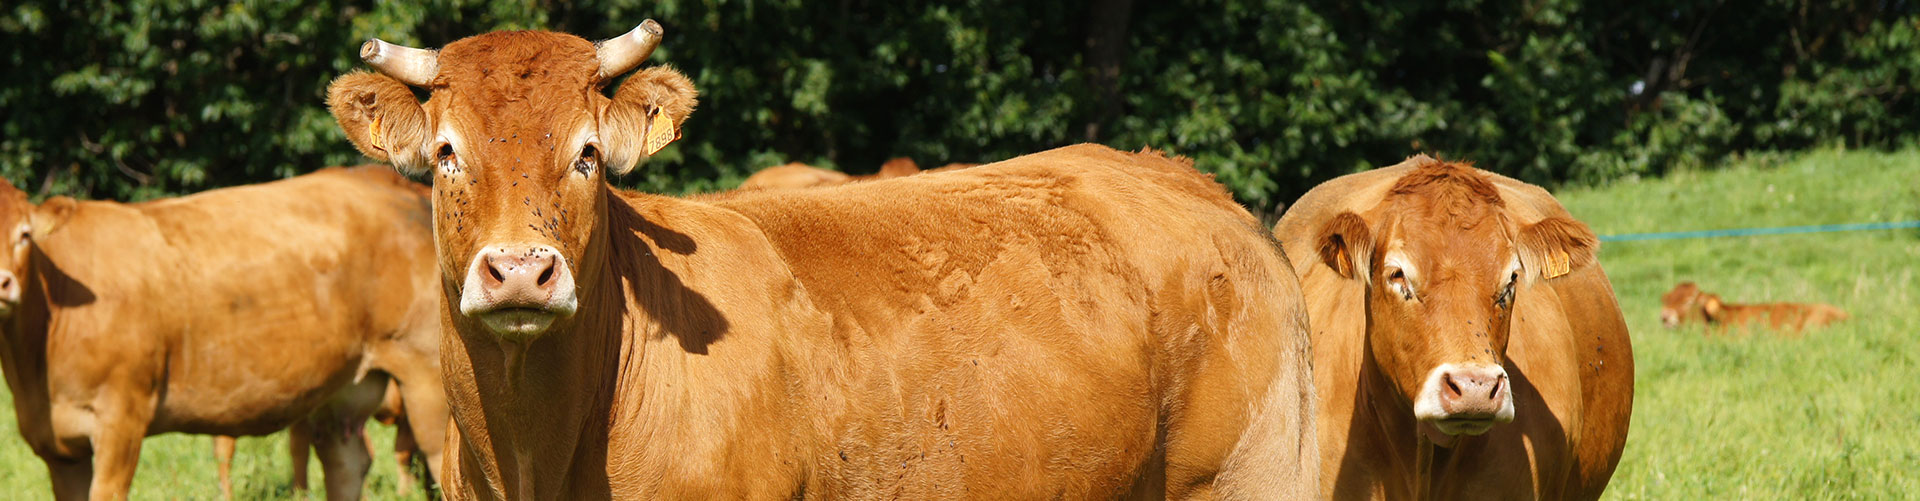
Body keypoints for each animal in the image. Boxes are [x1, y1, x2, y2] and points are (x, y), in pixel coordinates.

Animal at [0, 167, 449, 500]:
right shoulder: (58, 449)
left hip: (428, 379)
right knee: (346, 464)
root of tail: (389, 179)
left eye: (24, 235)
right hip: (341, 390)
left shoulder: (121, 418)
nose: (4, 283)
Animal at [325, 20, 1319, 499]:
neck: (541, 449)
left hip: (1248, 479)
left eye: (588, 155)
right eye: (447, 153)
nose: (522, 272)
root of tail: (1182, 178)